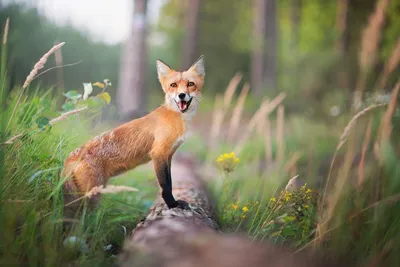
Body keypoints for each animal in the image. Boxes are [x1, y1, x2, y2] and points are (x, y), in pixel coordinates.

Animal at [62, 56, 206, 214]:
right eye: (173, 85)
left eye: (190, 84)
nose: (181, 95)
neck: (176, 118)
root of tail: (70, 157)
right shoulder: (158, 153)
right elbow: (166, 186)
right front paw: (172, 204)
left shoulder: (168, 155)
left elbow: (171, 181)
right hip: (92, 197)